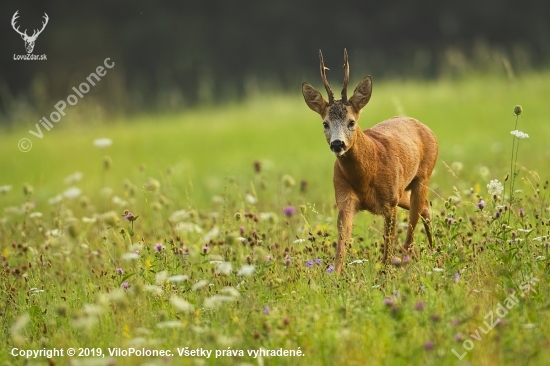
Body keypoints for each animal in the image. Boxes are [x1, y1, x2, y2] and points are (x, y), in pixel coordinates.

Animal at [302, 48, 440, 274]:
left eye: (351, 122)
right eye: (325, 123)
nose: (337, 144)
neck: (366, 176)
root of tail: (426, 128)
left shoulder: (389, 203)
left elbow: (388, 248)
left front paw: (386, 273)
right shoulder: (345, 201)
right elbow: (341, 248)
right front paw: (334, 276)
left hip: (423, 176)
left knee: (411, 230)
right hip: (404, 190)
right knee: (425, 208)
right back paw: (435, 251)